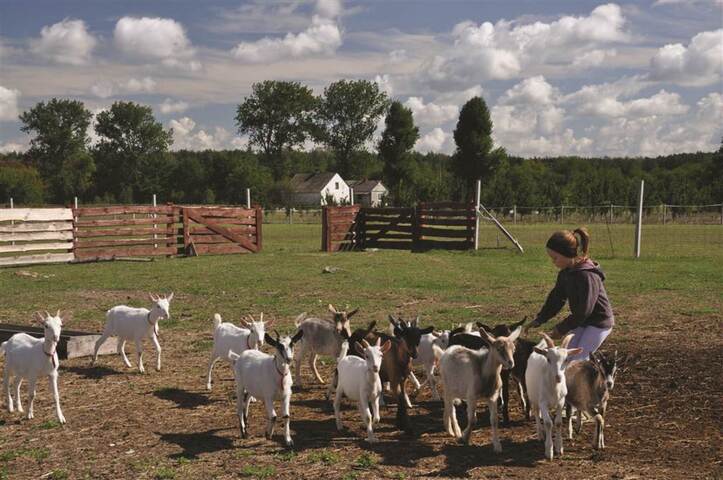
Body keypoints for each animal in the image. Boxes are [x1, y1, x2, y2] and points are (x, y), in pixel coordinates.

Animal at [528, 332, 584, 460]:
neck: (554, 388)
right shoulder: (543, 402)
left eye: (566, 359)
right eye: (548, 359)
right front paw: (549, 451)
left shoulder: (561, 402)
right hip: (533, 397)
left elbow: (558, 422)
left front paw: (559, 447)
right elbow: (549, 423)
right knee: (536, 412)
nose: (558, 377)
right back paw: (540, 434)